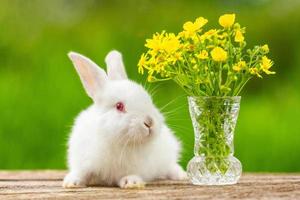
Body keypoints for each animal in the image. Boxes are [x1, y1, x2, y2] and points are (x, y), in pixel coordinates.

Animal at [62, 50, 185, 189]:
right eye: (119, 106)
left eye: (149, 100)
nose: (149, 122)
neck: (114, 139)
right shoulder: (82, 159)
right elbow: (81, 172)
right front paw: (71, 182)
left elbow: (131, 174)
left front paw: (132, 182)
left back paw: (181, 175)